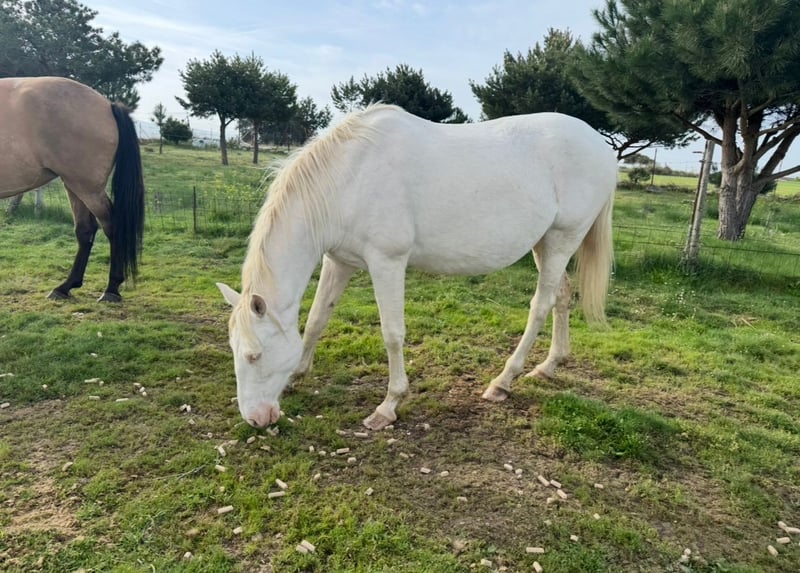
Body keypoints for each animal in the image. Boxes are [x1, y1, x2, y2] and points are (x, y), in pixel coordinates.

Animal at [0, 76, 145, 302]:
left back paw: (111, 289)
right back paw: (65, 287)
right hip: (74, 186)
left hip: (88, 188)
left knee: (111, 225)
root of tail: (108, 105)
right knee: (85, 230)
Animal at [217, 104, 616, 431]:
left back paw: (503, 381)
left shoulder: (387, 262)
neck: (349, 178)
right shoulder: (339, 261)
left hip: (563, 239)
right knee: (562, 296)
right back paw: (549, 365)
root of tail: (602, 147)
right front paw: (298, 372)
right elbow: (317, 319)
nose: (256, 419)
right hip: (544, 243)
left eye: (254, 355)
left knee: (541, 305)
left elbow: (392, 334)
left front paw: (389, 405)